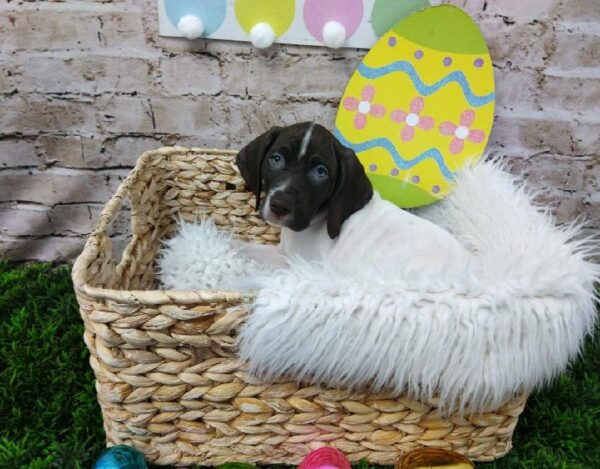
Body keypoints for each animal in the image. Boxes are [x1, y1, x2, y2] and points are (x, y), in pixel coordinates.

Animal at [234, 121, 474, 282]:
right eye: (276, 159)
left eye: (321, 172)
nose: (280, 205)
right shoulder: (283, 254)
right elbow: (243, 247)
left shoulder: (299, 268)